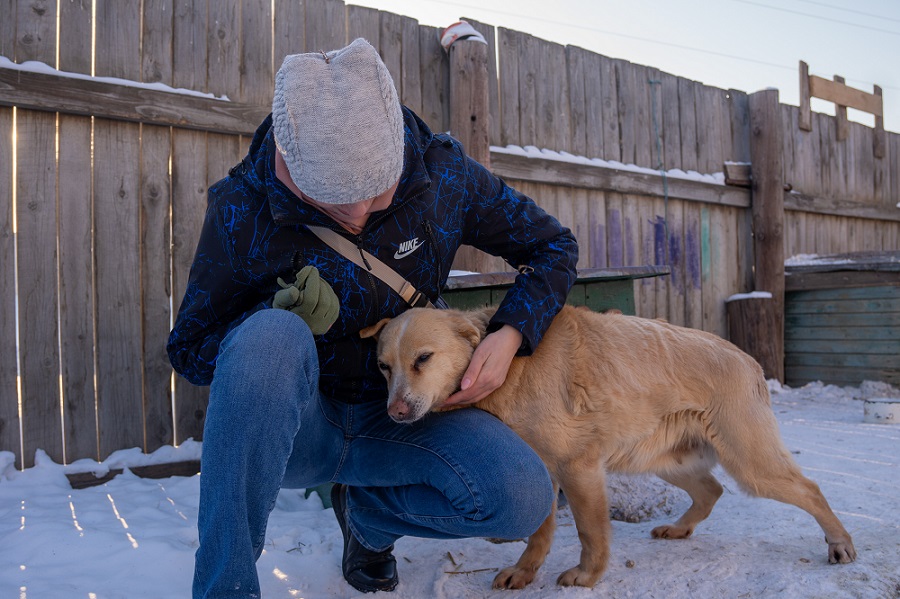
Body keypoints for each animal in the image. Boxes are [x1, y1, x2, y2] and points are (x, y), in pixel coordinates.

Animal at [360, 308, 856, 588]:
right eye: (384, 367)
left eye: (423, 359)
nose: (395, 414)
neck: (510, 369)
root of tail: (747, 359)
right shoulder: (543, 472)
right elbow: (540, 533)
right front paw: (525, 573)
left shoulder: (578, 468)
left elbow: (590, 532)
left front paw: (587, 576)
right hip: (666, 459)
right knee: (711, 490)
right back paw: (680, 529)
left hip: (750, 463)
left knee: (810, 489)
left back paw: (840, 544)